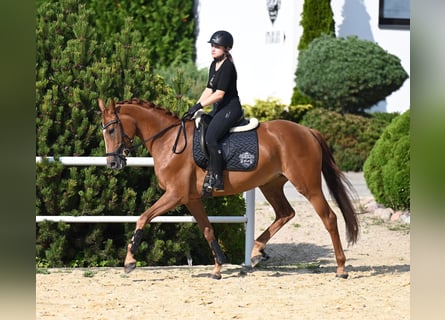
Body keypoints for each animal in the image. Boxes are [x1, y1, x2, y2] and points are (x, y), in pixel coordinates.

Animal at [97, 99, 358, 278]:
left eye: (111, 129)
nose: (112, 163)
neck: (169, 140)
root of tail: (307, 131)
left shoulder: (175, 195)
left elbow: (143, 218)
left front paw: (129, 261)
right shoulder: (191, 199)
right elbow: (208, 230)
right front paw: (218, 266)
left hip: (308, 186)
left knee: (329, 217)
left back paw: (341, 267)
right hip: (270, 184)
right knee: (286, 213)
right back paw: (256, 252)